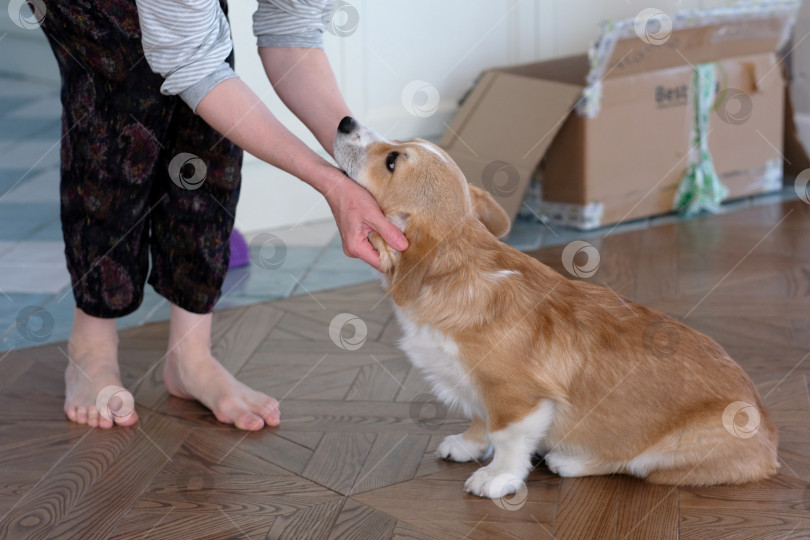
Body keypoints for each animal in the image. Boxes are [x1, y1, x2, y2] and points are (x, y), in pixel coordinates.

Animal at [332, 117, 776, 498]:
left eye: (392, 160)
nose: (344, 121)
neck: (456, 272)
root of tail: (770, 442)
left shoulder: (518, 398)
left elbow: (506, 439)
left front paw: (497, 478)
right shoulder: (479, 390)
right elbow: (479, 420)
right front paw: (467, 445)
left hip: (668, 448)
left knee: (632, 463)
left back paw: (569, 461)